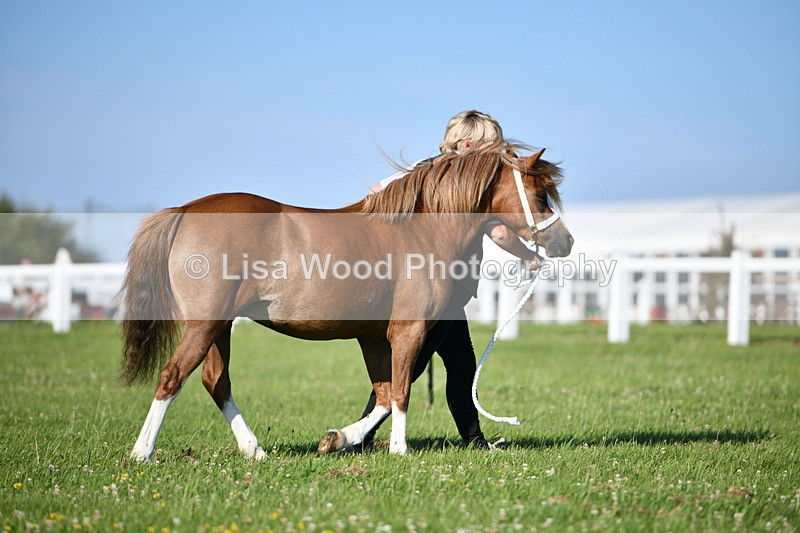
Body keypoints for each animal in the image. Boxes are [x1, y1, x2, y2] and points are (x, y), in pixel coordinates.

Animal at [120, 143, 573, 460]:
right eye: (539, 196)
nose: (564, 242)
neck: (422, 231)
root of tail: (184, 210)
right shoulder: (408, 331)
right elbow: (401, 392)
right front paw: (398, 449)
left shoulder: (372, 338)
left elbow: (385, 395)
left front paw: (340, 438)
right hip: (205, 324)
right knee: (172, 377)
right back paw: (142, 452)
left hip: (220, 327)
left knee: (217, 382)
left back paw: (255, 450)